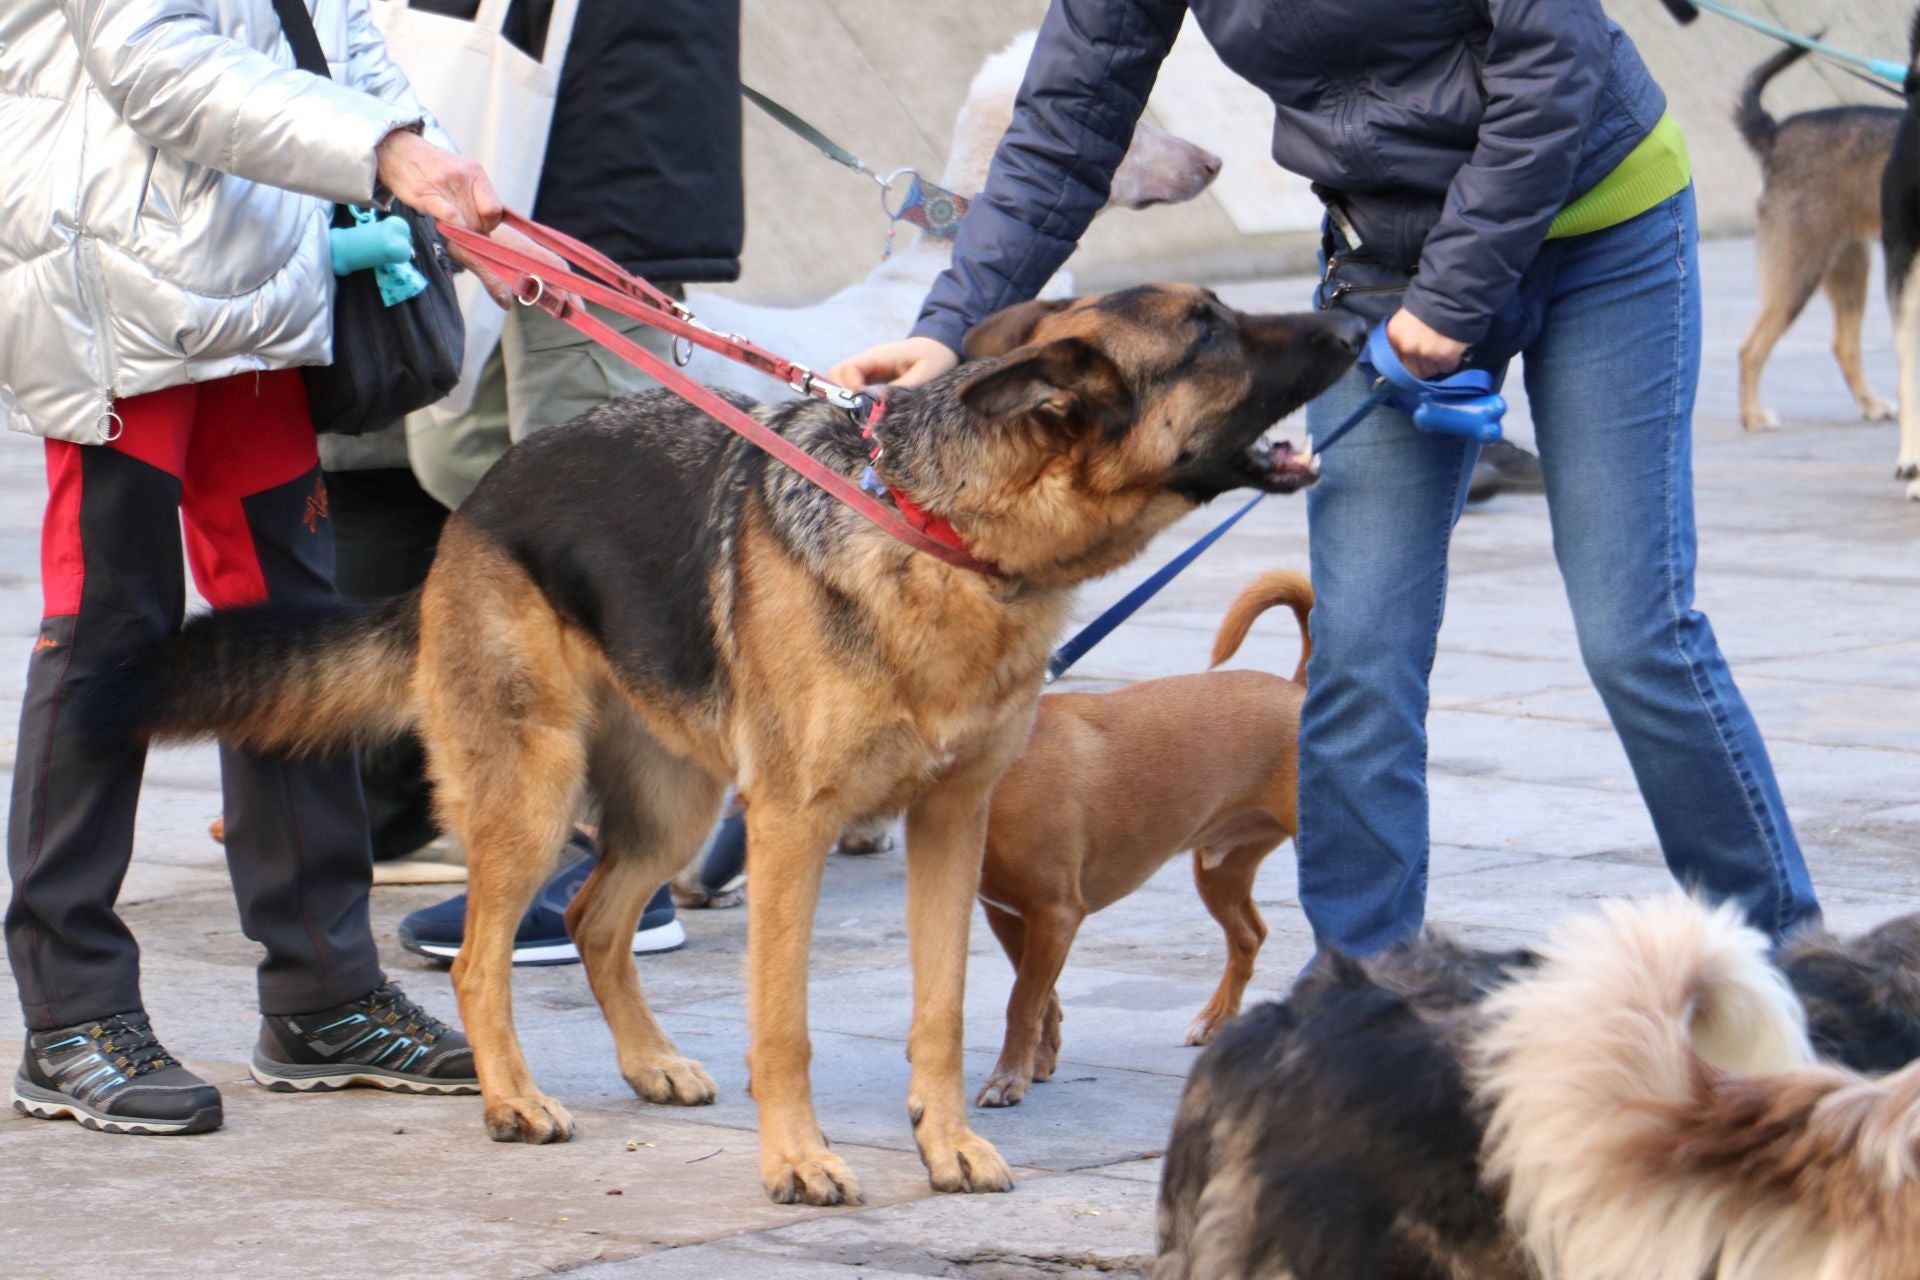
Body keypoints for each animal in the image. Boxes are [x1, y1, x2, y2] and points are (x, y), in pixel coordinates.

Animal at [975, 564, 1305, 1105]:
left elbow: (1022, 1000)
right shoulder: (1008, 915)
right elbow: (1041, 996)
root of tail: (1300, 689)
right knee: (1249, 936)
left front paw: (1008, 1078)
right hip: (1220, 871)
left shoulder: (1055, 914)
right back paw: (1216, 1021)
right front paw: (1039, 1061)